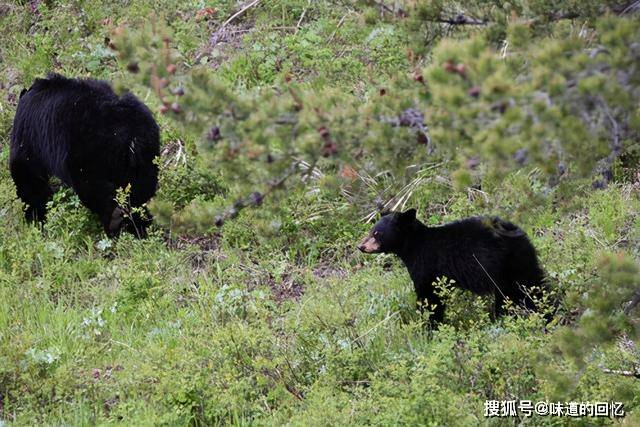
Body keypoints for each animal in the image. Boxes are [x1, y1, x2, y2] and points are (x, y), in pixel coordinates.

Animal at [10, 75, 160, 239]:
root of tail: (132, 137)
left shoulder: (29, 136)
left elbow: (27, 172)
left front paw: (34, 218)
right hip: (145, 159)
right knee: (140, 195)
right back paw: (140, 228)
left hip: (90, 159)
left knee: (97, 192)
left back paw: (113, 224)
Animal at [358, 211, 548, 324]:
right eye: (371, 230)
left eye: (377, 233)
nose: (361, 246)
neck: (413, 247)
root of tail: (514, 230)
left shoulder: (427, 267)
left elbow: (429, 298)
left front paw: (429, 326)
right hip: (520, 259)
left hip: (501, 265)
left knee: (521, 289)